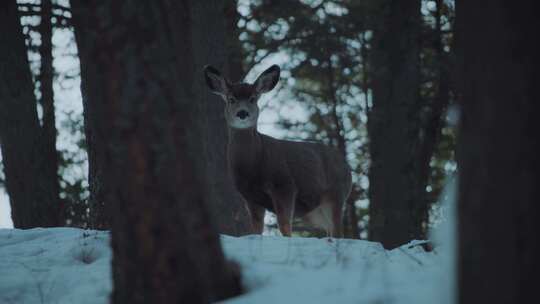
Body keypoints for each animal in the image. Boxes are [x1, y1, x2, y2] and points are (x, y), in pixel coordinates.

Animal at [205, 64, 352, 238]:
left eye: (253, 98)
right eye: (231, 99)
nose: (242, 113)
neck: (253, 166)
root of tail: (347, 166)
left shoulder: (284, 184)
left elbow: (284, 225)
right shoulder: (250, 197)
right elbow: (256, 228)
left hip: (336, 193)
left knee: (338, 231)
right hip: (316, 212)